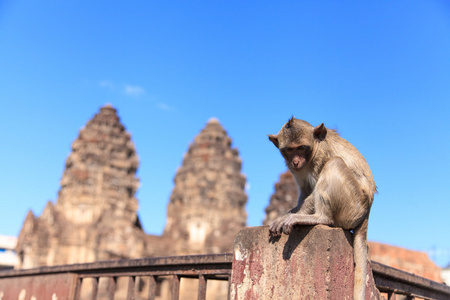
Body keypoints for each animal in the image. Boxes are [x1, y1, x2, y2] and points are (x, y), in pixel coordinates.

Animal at [268, 117, 376, 300]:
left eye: (301, 148)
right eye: (289, 149)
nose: (295, 161)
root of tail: (367, 211)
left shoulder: (322, 155)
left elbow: (313, 192)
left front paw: (290, 216)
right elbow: (305, 191)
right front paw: (284, 215)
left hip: (353, 207)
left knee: (334, 163)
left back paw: (320, 218)